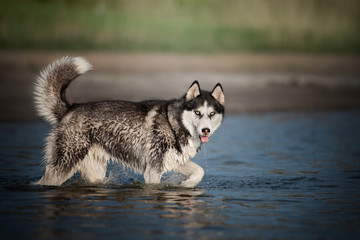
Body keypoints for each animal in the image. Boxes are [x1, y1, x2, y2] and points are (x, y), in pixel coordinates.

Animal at [34, 56, 225, 188]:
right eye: (198, 113)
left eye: (212, 114)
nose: (205, 130)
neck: (175, 124)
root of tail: (70, 108)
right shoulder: (153, 170)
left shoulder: (174, 161)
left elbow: (199, 171)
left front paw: (187, 184)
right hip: (64, 164)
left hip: (94, 170)